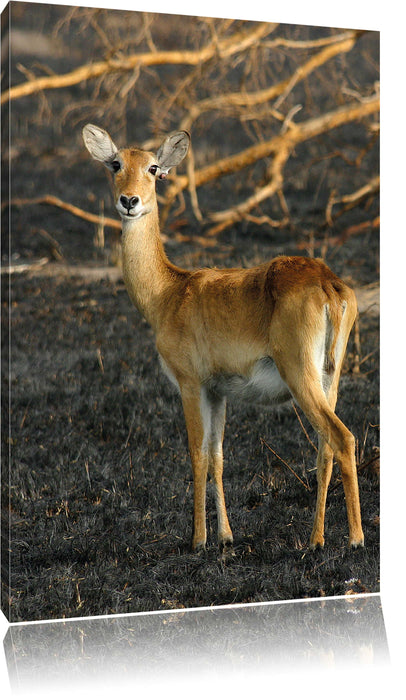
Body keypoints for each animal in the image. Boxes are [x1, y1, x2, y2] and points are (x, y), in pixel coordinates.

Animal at [82, 123, 364, 553]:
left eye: (153, 167)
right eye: (116, 163)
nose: (129, 200)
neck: (168, 293)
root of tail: (328, 283)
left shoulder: (190, 383)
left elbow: (197, 455)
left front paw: (198, 540)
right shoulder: (218, 390)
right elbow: (217, 457)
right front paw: (226, 536)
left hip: (301, 376)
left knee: (343, 438)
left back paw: (355, 539)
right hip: (329, 377)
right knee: (325, 449)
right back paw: (315, 540)